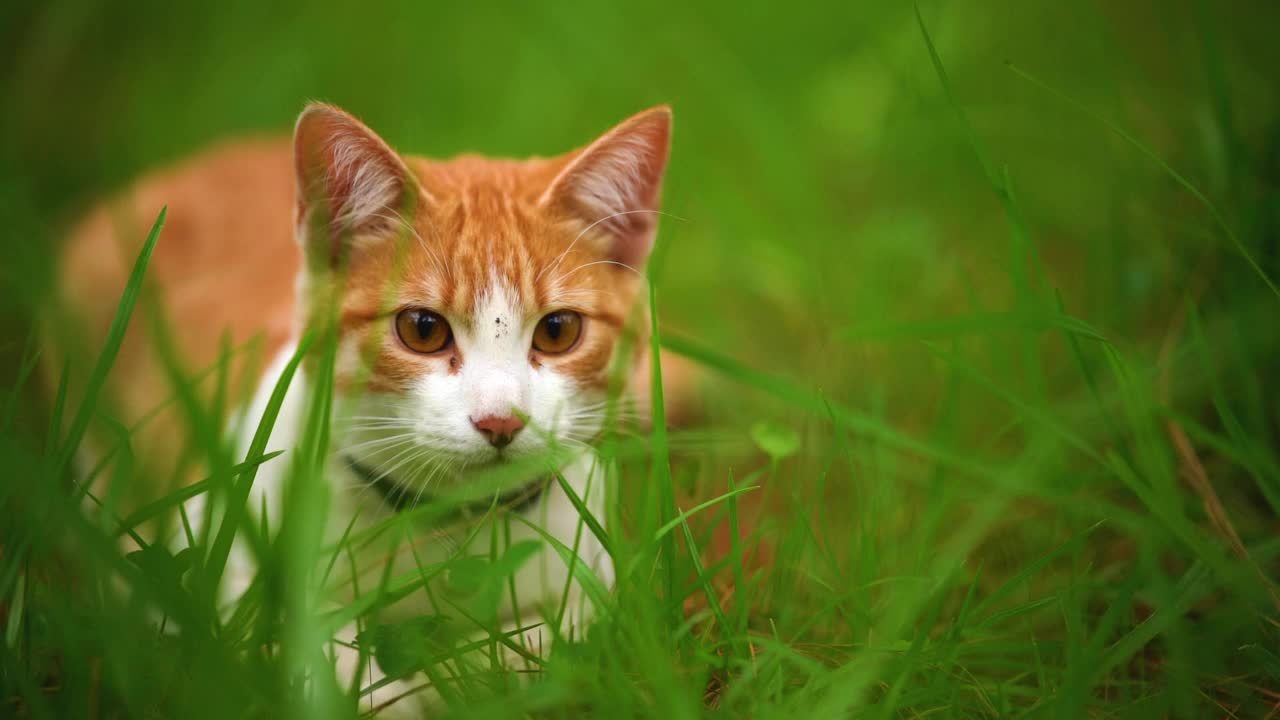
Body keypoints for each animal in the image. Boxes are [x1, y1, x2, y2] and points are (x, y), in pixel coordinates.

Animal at [52, 101, 680, 712]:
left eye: (557, 331)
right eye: (423, 329)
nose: (499, 420)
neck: (445, 529)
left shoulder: (598, 579)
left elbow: (548, 641)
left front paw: (459, 672)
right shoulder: (212, 555)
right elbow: (277, 641)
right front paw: (386, 687)